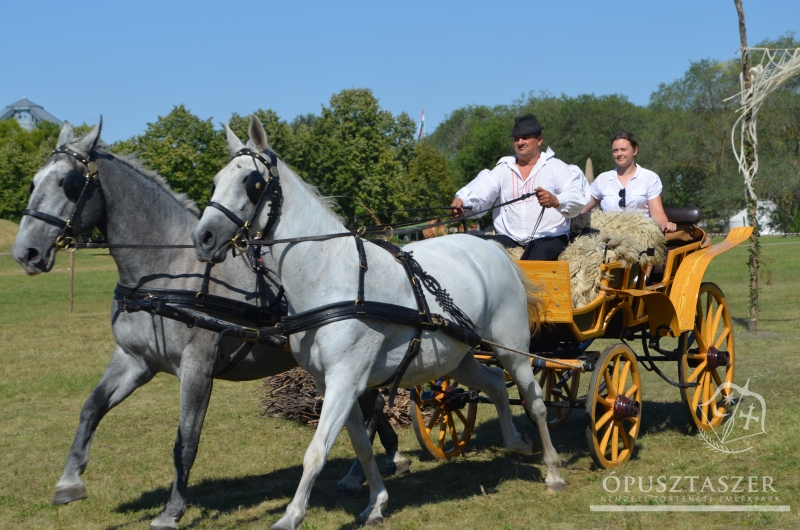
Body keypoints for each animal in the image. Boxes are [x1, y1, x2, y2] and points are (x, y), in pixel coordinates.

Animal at [11, 119, 410, 528]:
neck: (166, 274)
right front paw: (69, 482)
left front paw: (171, 511)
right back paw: (374, 467)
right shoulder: (135, 361)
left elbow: (186, 440)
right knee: (369, 407)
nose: (25, 252)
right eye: (34, 181)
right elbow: (91, 408)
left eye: (69, 184)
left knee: (371, 406)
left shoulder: (197, 366)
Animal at [192, 117, 564, 524]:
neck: (332, 277)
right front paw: (376, 502)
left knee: (535, 401)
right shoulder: (331, 383)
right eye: (215, 180)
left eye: (252, 182)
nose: (203, 238)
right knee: (496, 384)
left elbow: (317, 452)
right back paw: (517, 442)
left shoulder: (345, 380)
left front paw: (291, 517)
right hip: (458, 357)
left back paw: (552, 470)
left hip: (512, 349)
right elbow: (360, 445)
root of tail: (492, 246)